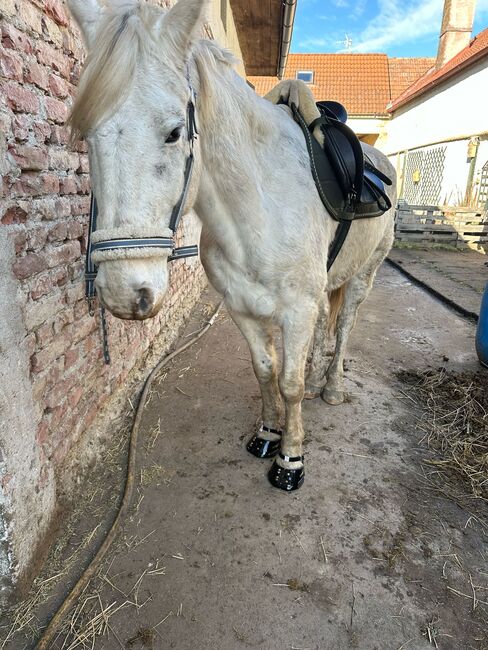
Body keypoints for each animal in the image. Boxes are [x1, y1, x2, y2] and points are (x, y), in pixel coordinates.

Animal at [68, 0, 396, 488]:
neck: (257, 211)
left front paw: (290, 459)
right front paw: (268, 435)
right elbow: (267, 372)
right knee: (325, 323)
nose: (126, 294)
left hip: (364, 275)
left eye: (173, 132)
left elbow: (290, 384)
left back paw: (332, 386)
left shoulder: (295, 309)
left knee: (345, 326)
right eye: (87, 132)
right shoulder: (241, 308)